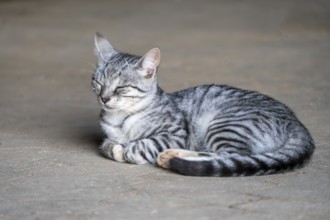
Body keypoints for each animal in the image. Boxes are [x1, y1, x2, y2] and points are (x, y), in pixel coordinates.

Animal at [91, 32, 314, 177]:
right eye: (98, 83)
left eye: (121, 87)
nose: (104, 98)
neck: (120, 119)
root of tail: (297, 123)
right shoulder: (109, 135)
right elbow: (107, 144)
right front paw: (115, 146)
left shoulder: (174, 134)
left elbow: (137, 147)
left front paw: (126, 150)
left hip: (226, 125)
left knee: (227, 156)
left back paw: (172, 158)